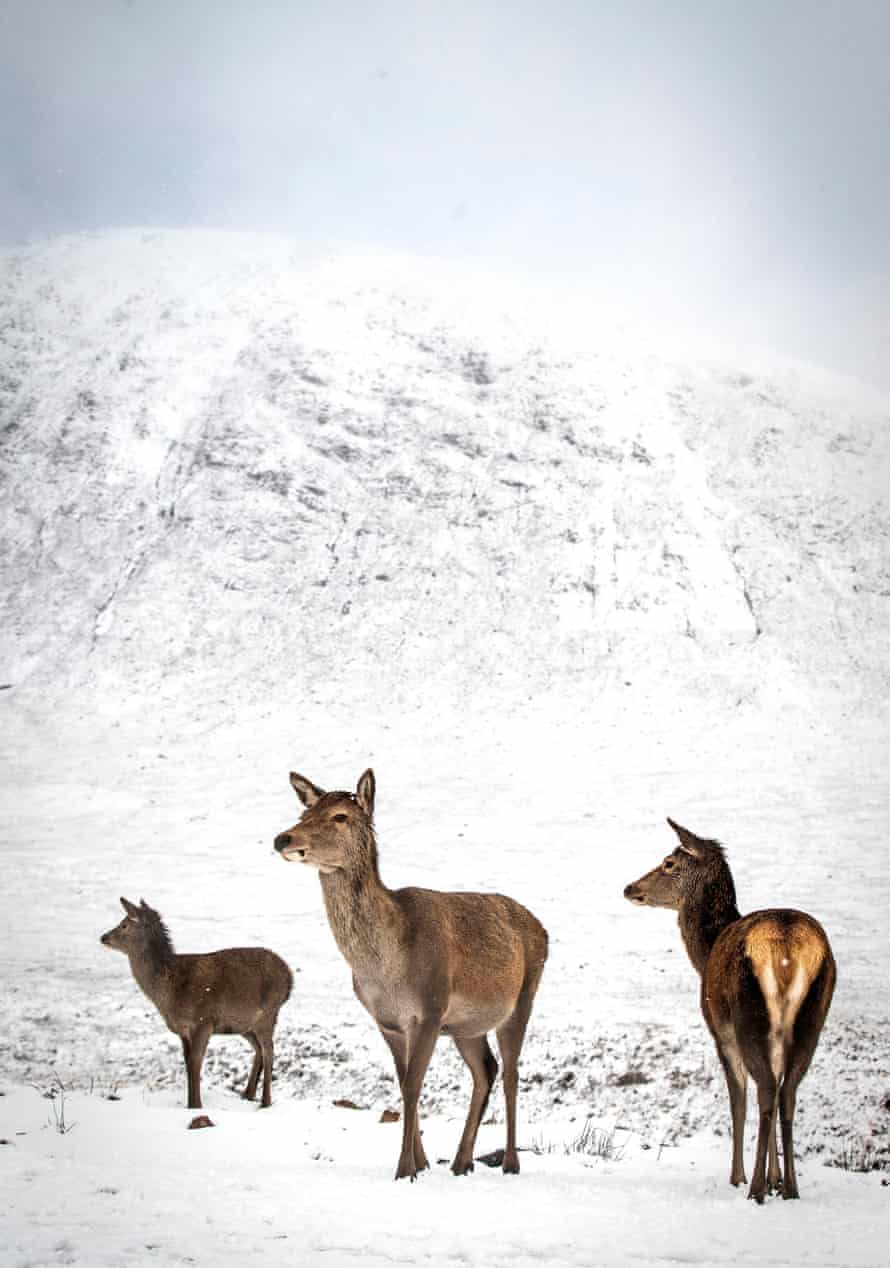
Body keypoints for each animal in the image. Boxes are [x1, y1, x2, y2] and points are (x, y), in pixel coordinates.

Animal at [100, 898, 293, 1109]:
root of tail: (289, 979)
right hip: (244, 1023)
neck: (170, 991)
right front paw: (189, 1104)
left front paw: (197, 1105)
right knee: (258, 1050)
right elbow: (187, 1064)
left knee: (269, 1052)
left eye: (124, 924)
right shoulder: (183, 1029)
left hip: (267, 1014)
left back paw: (265, 1101)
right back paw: (247, 1094)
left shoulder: (203, 1021)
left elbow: (195, 1062)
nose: (103, 937)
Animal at [273, 768, 548, 1181]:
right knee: (486, 1069)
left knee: (512, 1075)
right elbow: (403, 1085)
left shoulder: (430, 1010)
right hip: (467, 1026)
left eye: (340, 816)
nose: (283, 838)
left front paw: (404, 1169)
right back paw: (461, 1161)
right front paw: (420, 1163)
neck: (387, 967)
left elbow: (414, 1085)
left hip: (522, 998)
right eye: (304, 813)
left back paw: (511, 1163)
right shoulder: (387, 1021)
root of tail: (543, 929)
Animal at [623, 818, 836, 1203]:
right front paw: (775, 1178)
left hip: (747, 1016)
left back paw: (754, 1189)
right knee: (786, 1092)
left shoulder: (719, 1030)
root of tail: (787, 949)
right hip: (813, 1016)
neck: (705, 953)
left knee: (764, 1090)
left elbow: (737, 1097)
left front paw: (740, 1176)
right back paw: (790, 1188)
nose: (630, 888)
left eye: (669, 863)